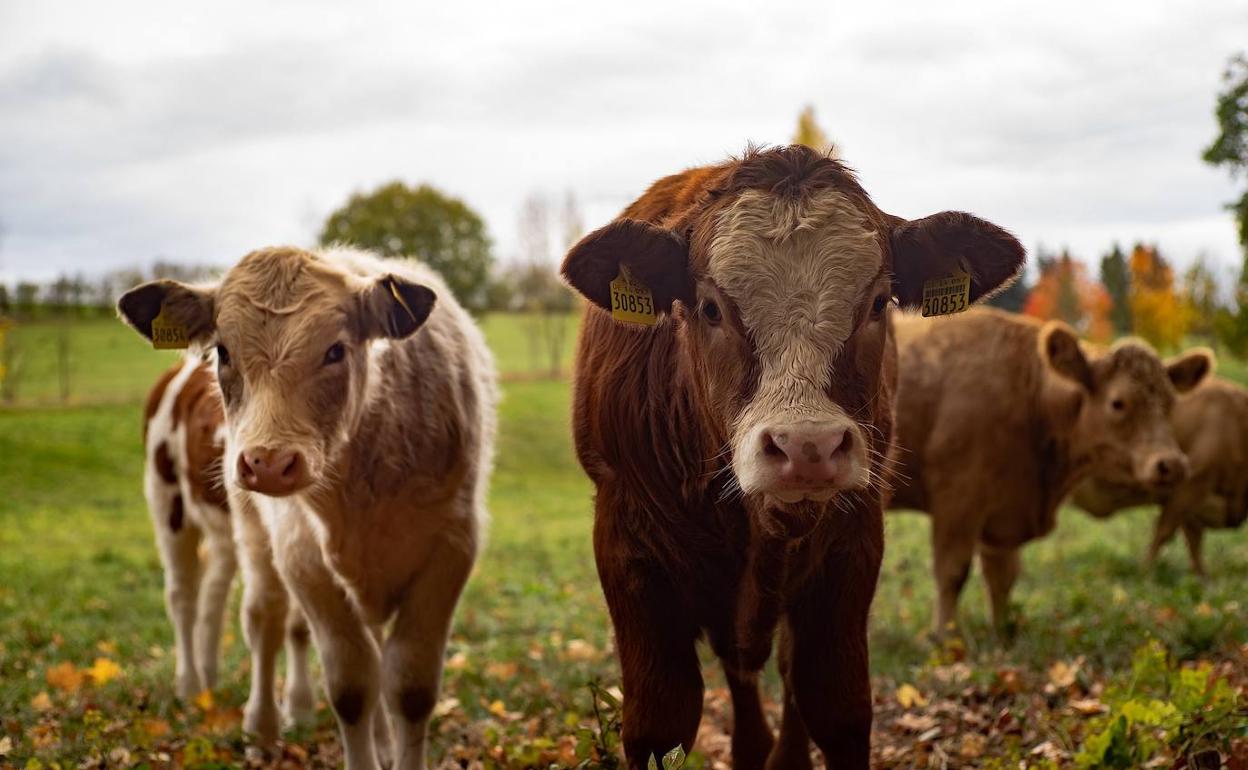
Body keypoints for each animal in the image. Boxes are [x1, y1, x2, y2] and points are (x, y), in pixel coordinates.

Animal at [142, 356, 316, 718]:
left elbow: (300, 623)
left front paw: (299, 707)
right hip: (167, 498)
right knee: (182, 595)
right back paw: (189, 684)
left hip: (224, 530)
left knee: (214, 590)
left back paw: (208, 676)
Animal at [564, 145, 1023, 768]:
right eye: (710, 308)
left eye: (876, 303)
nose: (808, 446)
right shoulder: (627, 547)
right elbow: (661, 721)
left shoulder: (853, 546)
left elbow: (837, 706)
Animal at [888, 305, 1208, 636]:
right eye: (1118, 403)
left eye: (1170, 403)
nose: (1172, 463)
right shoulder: (957, 502)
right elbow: (952, 573)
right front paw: (945, 638)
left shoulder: (1004, 514)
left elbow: (1002, 578)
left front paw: (1002, 633)